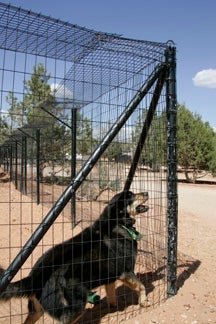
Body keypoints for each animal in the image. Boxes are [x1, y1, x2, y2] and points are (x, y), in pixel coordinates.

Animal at [0, 191, 148, 322]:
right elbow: (141, 286)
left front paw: (114, 307)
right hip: (76, 305)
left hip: (37, 310)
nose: (146, 192)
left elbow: (112, 295)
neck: (118, 222)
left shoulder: (110, 275)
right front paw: (144, 302)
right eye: (130, 195)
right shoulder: (126, 272)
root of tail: (34, 277)